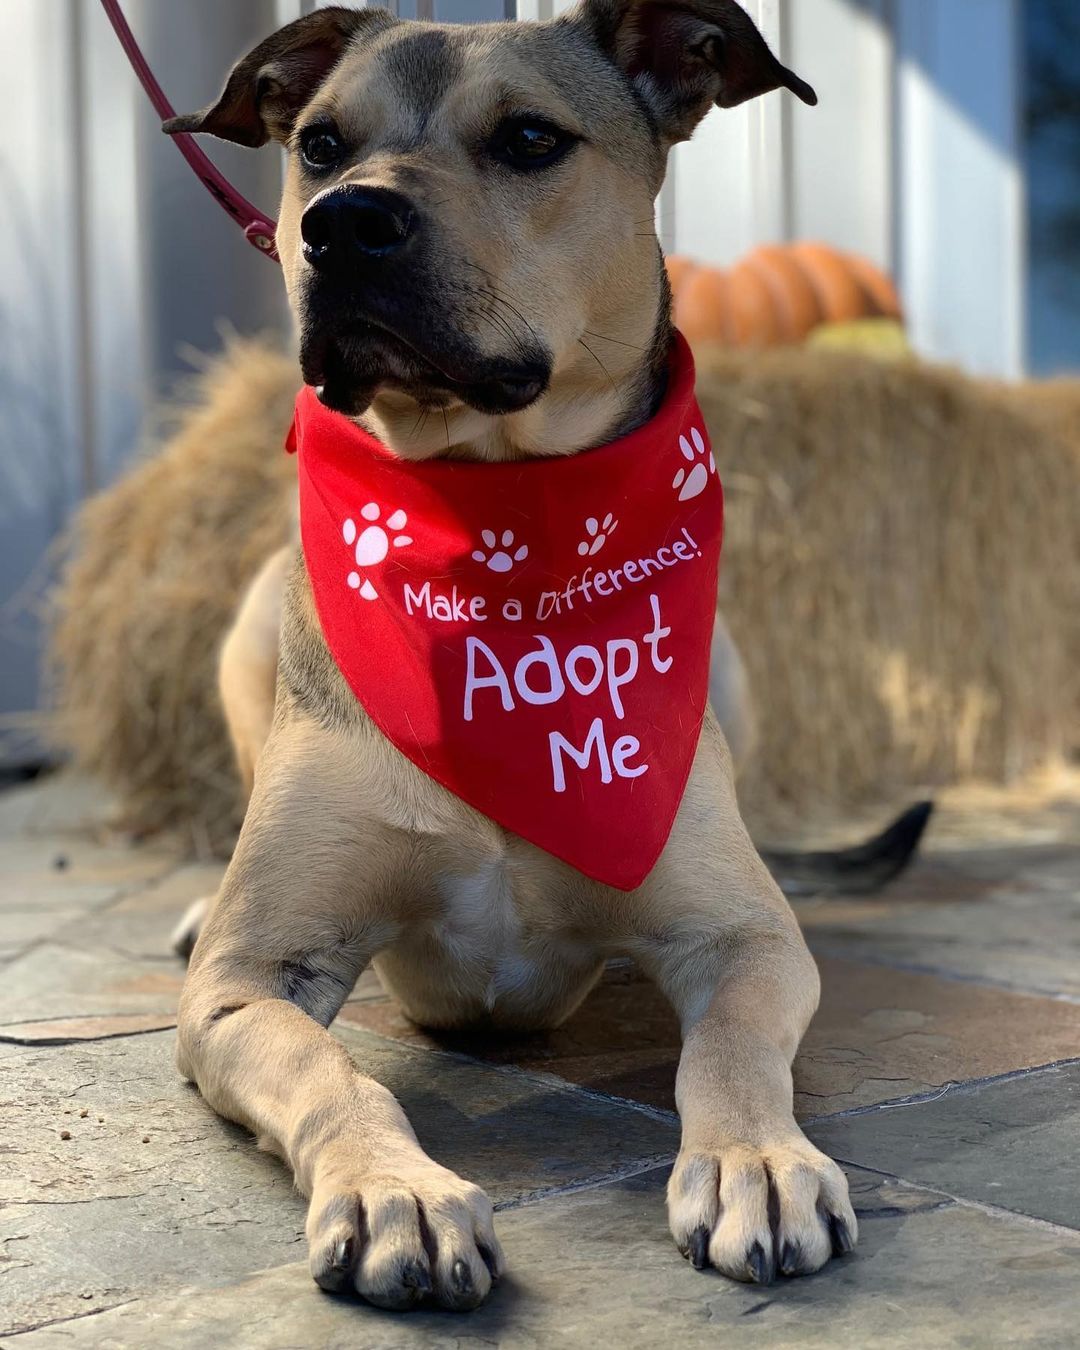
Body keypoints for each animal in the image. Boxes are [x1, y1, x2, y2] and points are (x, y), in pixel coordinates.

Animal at [166, 0, 858, 1306]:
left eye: (531, 139)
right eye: (320, 145)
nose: (344, 224)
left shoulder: (743, 939)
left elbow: (734, 1049)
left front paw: (754, 1158)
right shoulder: (246, 983)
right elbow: (336, 1072)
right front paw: (396, 1189)